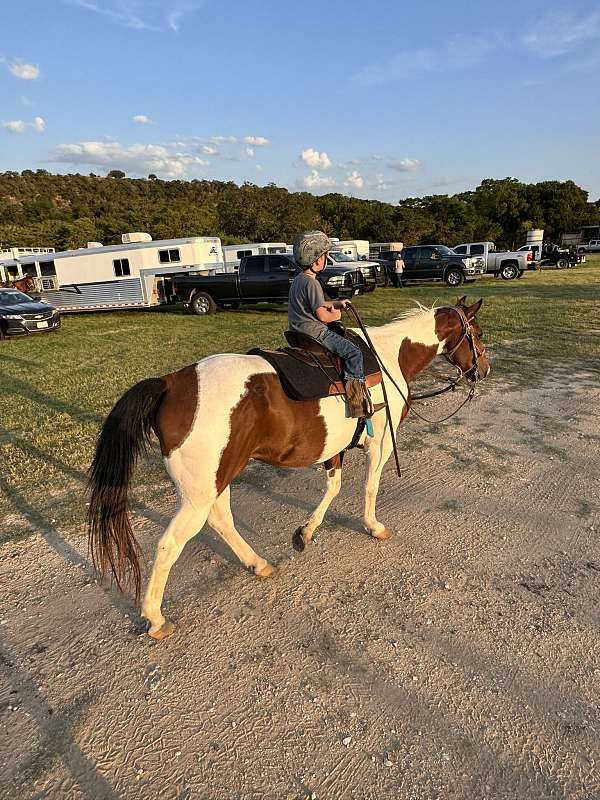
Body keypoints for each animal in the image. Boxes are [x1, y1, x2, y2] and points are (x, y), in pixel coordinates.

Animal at [90, 296, 492, 640]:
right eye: (477, 333)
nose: (484, 370)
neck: (389, 358)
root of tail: (171, 383)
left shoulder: (336, 448)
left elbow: (333, 487)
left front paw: (306, 532)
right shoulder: (380, 443)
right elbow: (369, 487)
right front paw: (372, 526)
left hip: (218, 480)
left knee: (221, 521)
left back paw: (257, 563)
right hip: (199, 493)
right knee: (170, 544)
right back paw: (155, 617)